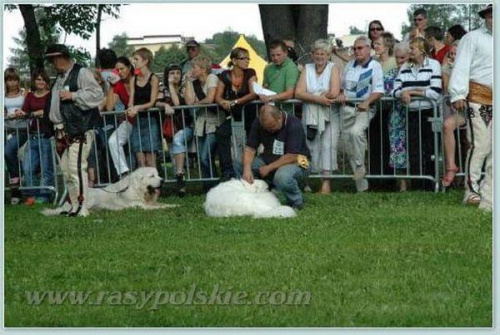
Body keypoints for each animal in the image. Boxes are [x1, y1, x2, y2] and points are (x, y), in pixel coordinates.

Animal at [42, 167, 177, 217]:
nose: (163, 180)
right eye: (152, 176)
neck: (136, 188)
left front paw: (174, 204)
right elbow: (158, 207)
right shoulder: (139, 206)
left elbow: (162, 204)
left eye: (158, 174)